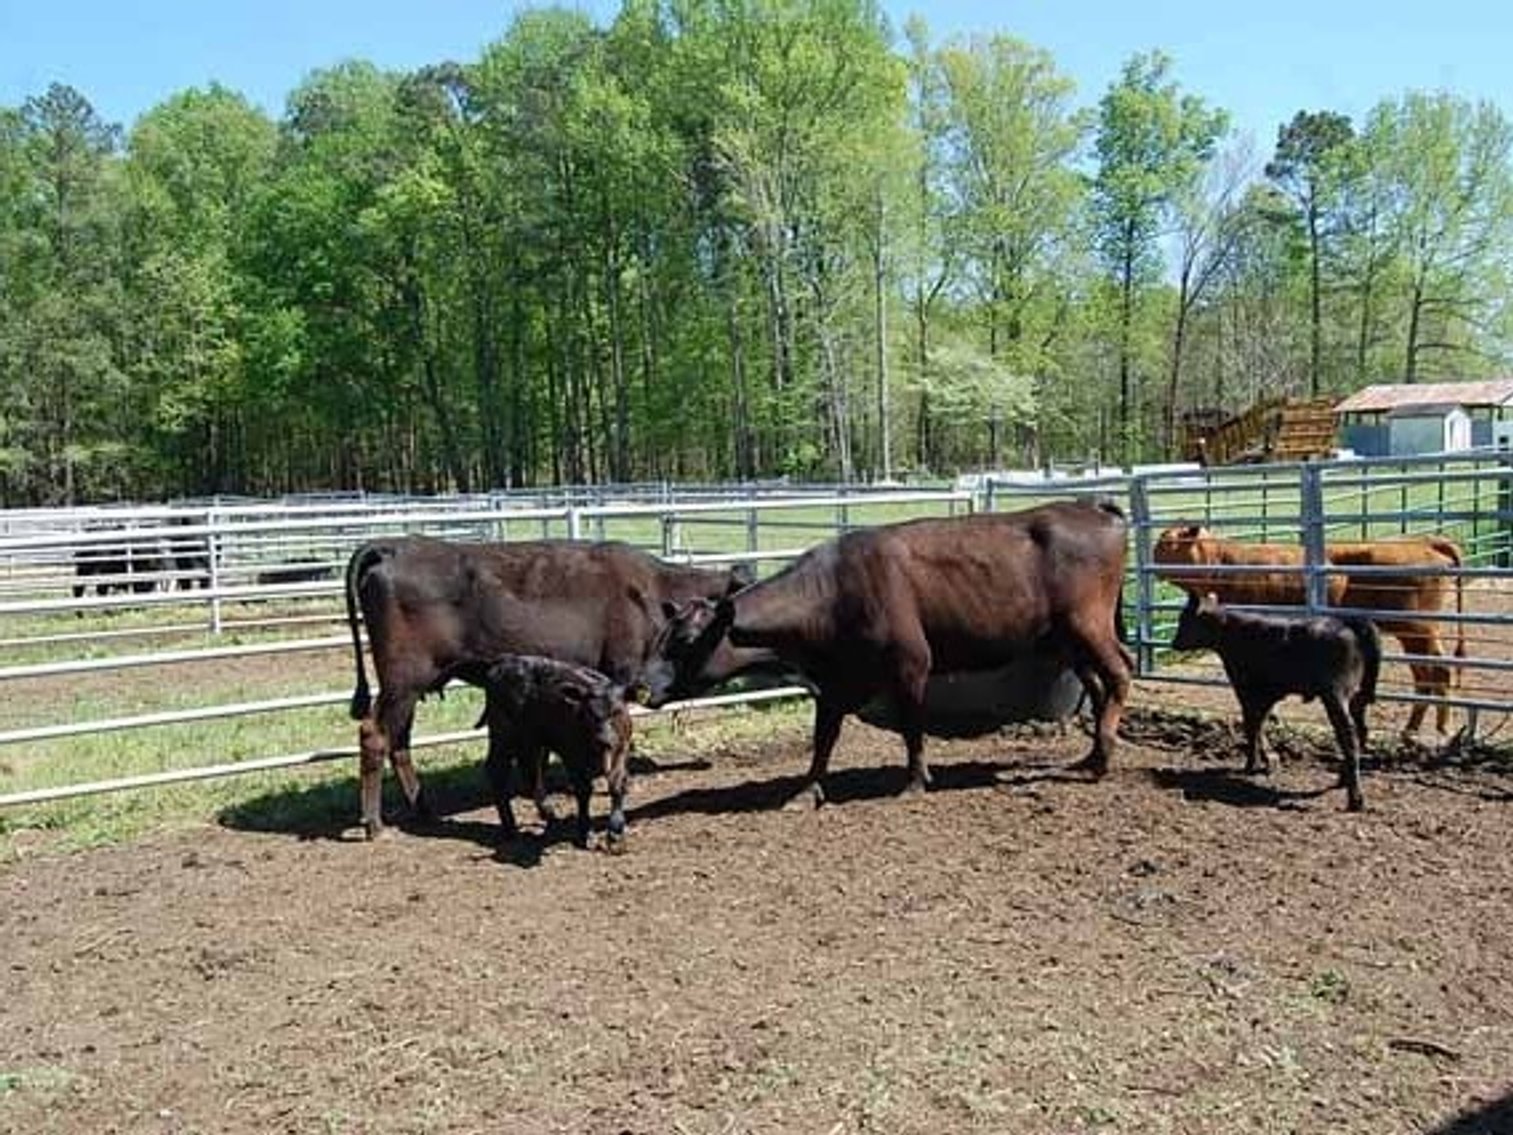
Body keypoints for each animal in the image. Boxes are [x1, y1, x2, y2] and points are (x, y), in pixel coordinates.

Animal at [475, 654, 633, 850]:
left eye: (617, 711)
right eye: (589, 713)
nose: (603, 740)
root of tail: (503, 661)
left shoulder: (621, 748)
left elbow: (617, 784)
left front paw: (616, 830)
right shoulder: (571, 754)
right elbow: (584, 790)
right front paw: (585, 833)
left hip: (530, 739)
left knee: (530, 769)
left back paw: (547, 812)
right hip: (503, 734)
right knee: (497, 771)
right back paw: (510, 828)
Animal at [639, 499, 1132, 808]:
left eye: (684, 641)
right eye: (662, 636)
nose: (642, 686)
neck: (834, 591)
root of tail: (1091, 507)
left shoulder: (911, 666)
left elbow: (912, 728)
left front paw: (914, 782)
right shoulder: (833, 683)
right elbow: (822, 741)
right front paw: (805, 791)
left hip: (1088, 625)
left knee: (1120, 673)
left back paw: (1105, 754)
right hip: (1066, 640)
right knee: (1097, 685)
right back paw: (1090, 756)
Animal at [1153, 525, 1464, 736]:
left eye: (1167, 542)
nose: (1152, 559)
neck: (1226, 563)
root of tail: (1427, 542)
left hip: (1418, 628)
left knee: (1438, 670)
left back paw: (1441, 728)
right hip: (1416, 633)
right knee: (1426, 673)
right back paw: (1414, 727)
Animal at [1170, 591, 1382, 812]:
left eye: (1184, 619)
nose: (1173, 643)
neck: (1232, 631)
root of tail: (1348, 622)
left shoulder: (1246, 689)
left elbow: (1251, 725)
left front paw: (1252, 763)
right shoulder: (1267, 695)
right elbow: (1259, 723)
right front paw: (1268, 759)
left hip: (1335, 696)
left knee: (1349, 738)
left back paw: (1355, 798)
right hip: (1357, 696)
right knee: (1361, 730)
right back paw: (1343, 779)